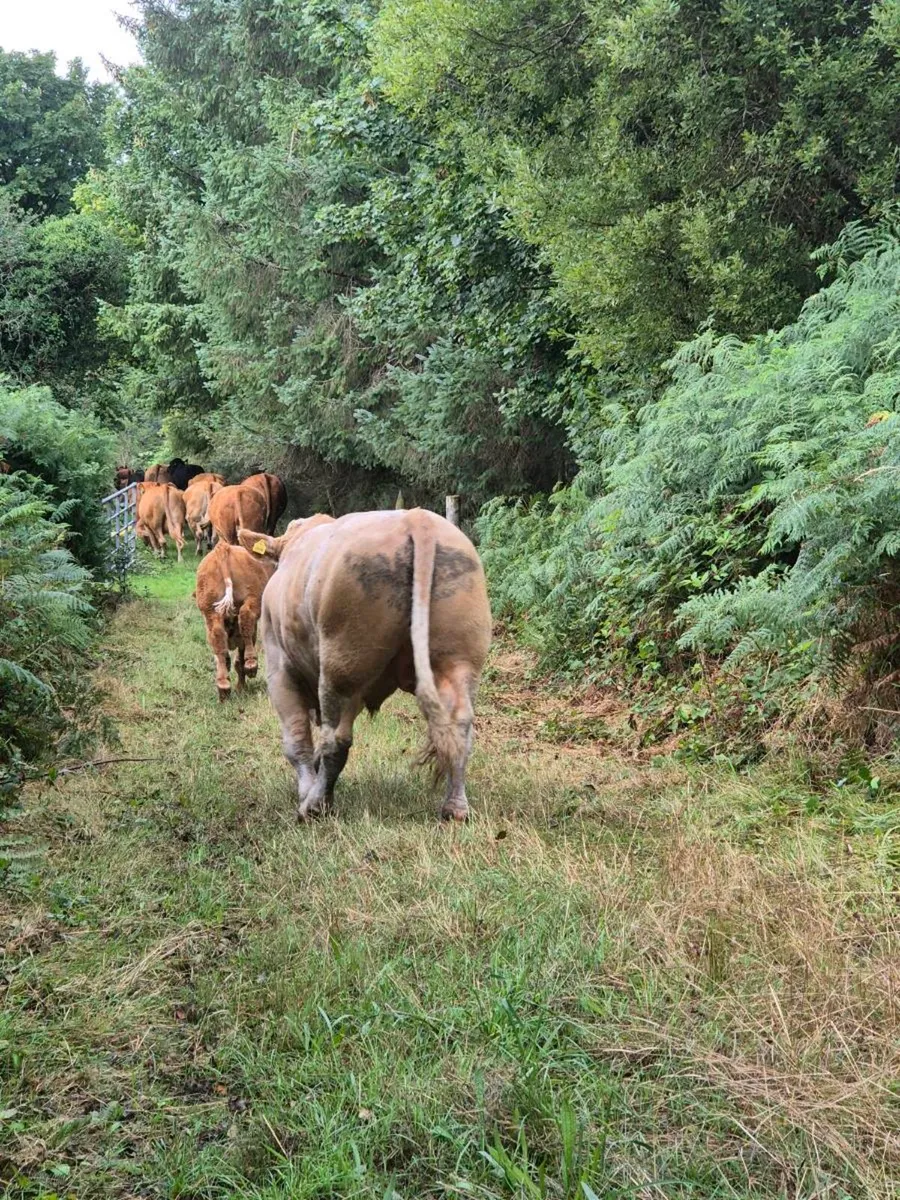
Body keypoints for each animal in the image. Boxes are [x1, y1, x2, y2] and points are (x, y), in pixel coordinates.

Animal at [195, 541, 276, 700]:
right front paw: (241, 687)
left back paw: (223, 685)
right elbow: (239, 657)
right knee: (246, 618)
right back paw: (251, 663)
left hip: (211, 611)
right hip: (252, 598)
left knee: (218, 638)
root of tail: (223, 548)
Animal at [238, 508, 492, 823]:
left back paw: (315, 805)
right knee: (459, 726)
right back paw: (455, 808)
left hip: (342, 664)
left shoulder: (279, 669)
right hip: (457, 658)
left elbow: (296, 741)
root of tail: (417, 519)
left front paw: (306, 790)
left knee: (336, 739)